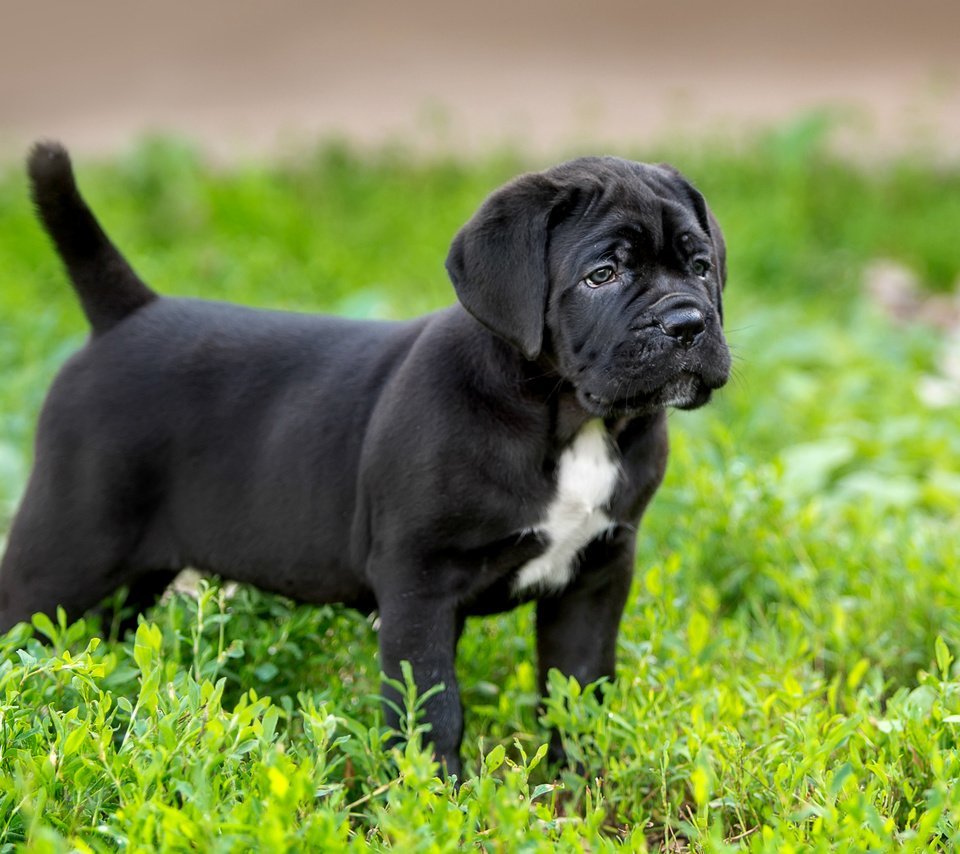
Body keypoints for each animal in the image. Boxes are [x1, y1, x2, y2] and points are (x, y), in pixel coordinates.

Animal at [0, 144, 728, 780]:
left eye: (700, 266)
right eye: (603, 275)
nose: (689, 323)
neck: (571, 419)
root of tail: (124, 316)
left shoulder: (595, 575)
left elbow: (578, 693)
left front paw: (579, 792)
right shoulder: (421, 582)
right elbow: (433, 706)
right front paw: (437, 801)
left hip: (134, 570)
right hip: (65, 550)